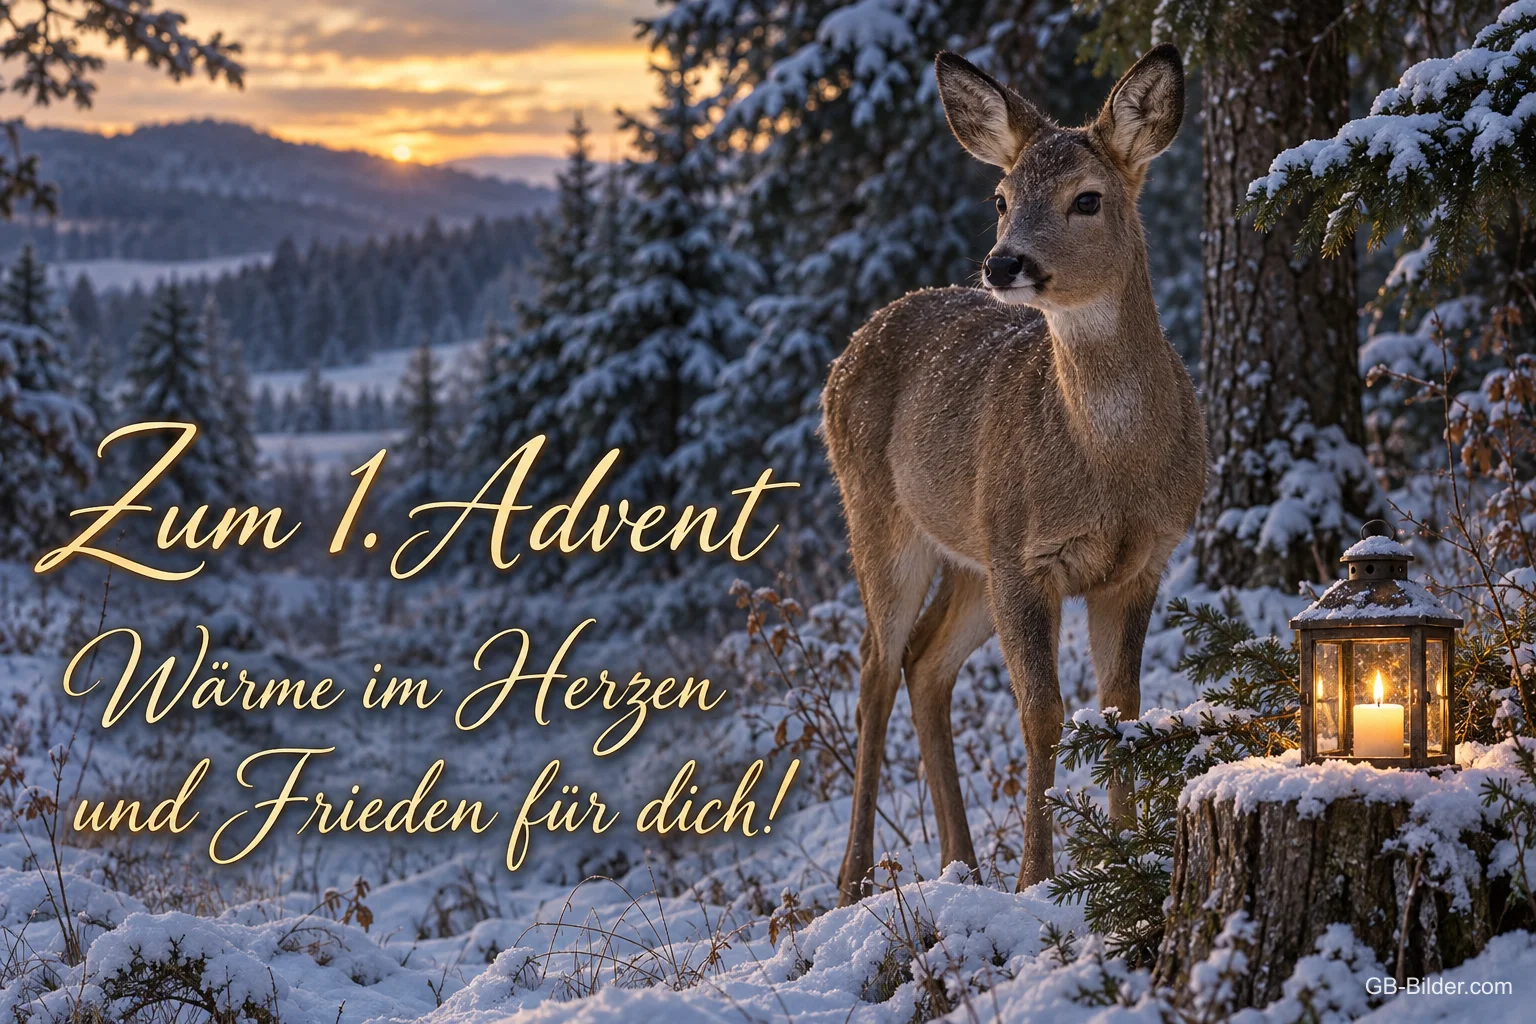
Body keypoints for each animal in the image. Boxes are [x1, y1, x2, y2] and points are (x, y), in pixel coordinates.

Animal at [820, 44, 1206, 905]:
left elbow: (1120, 707)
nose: (1004, 263)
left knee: (924, 665)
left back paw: (960, 864)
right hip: (883, 518)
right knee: (873, 672)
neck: (1111, 467)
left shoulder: (1141, 563)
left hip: (972, 550)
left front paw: (1125, 850)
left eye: (1087, 198)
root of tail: (858, 338)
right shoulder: (1027, 560)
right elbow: (1045, 714)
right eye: (1000, 198)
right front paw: (1038, 876)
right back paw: (854, 881)